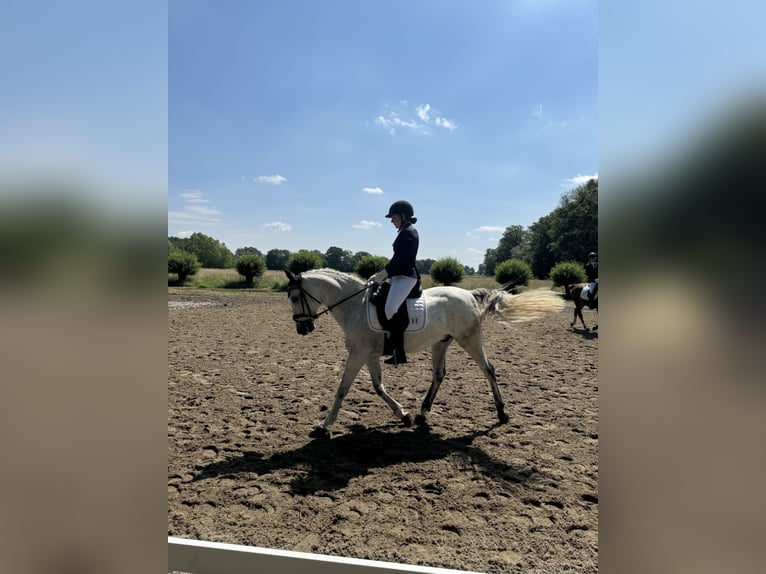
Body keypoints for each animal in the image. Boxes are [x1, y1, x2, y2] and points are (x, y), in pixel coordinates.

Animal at [284, 268, 565, 438]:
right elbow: (378, 387)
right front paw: (404, 415)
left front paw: (323, 426)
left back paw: (502, 414)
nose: (301, 328)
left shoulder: (359, 353)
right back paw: (421, 414)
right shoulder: (369, 355)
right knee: (439, 374)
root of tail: (469, 295)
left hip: (470, 340)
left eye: (295, 297)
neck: (355, 305)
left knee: (488, 370)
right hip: (441, 343)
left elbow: (343, 388)